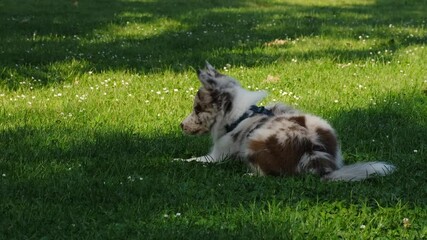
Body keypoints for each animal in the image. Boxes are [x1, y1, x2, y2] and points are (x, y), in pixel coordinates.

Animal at [177, 62, 394, 181]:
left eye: (197, 109)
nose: (180, 125)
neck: (240, 115)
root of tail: (314, 154)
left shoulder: (216, 156)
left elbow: (193, 160)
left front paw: (177, 161)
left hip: (253, 141)